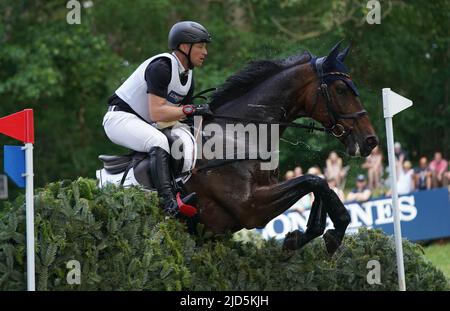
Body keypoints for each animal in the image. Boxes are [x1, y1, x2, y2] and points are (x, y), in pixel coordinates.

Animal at [186, 41, 376, 255]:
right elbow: (314, 181)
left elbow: (319, 184)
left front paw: (301, 236)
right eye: (341, 89)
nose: (371, 140)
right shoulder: (250, 208)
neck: (238, 134)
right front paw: (336, 230)